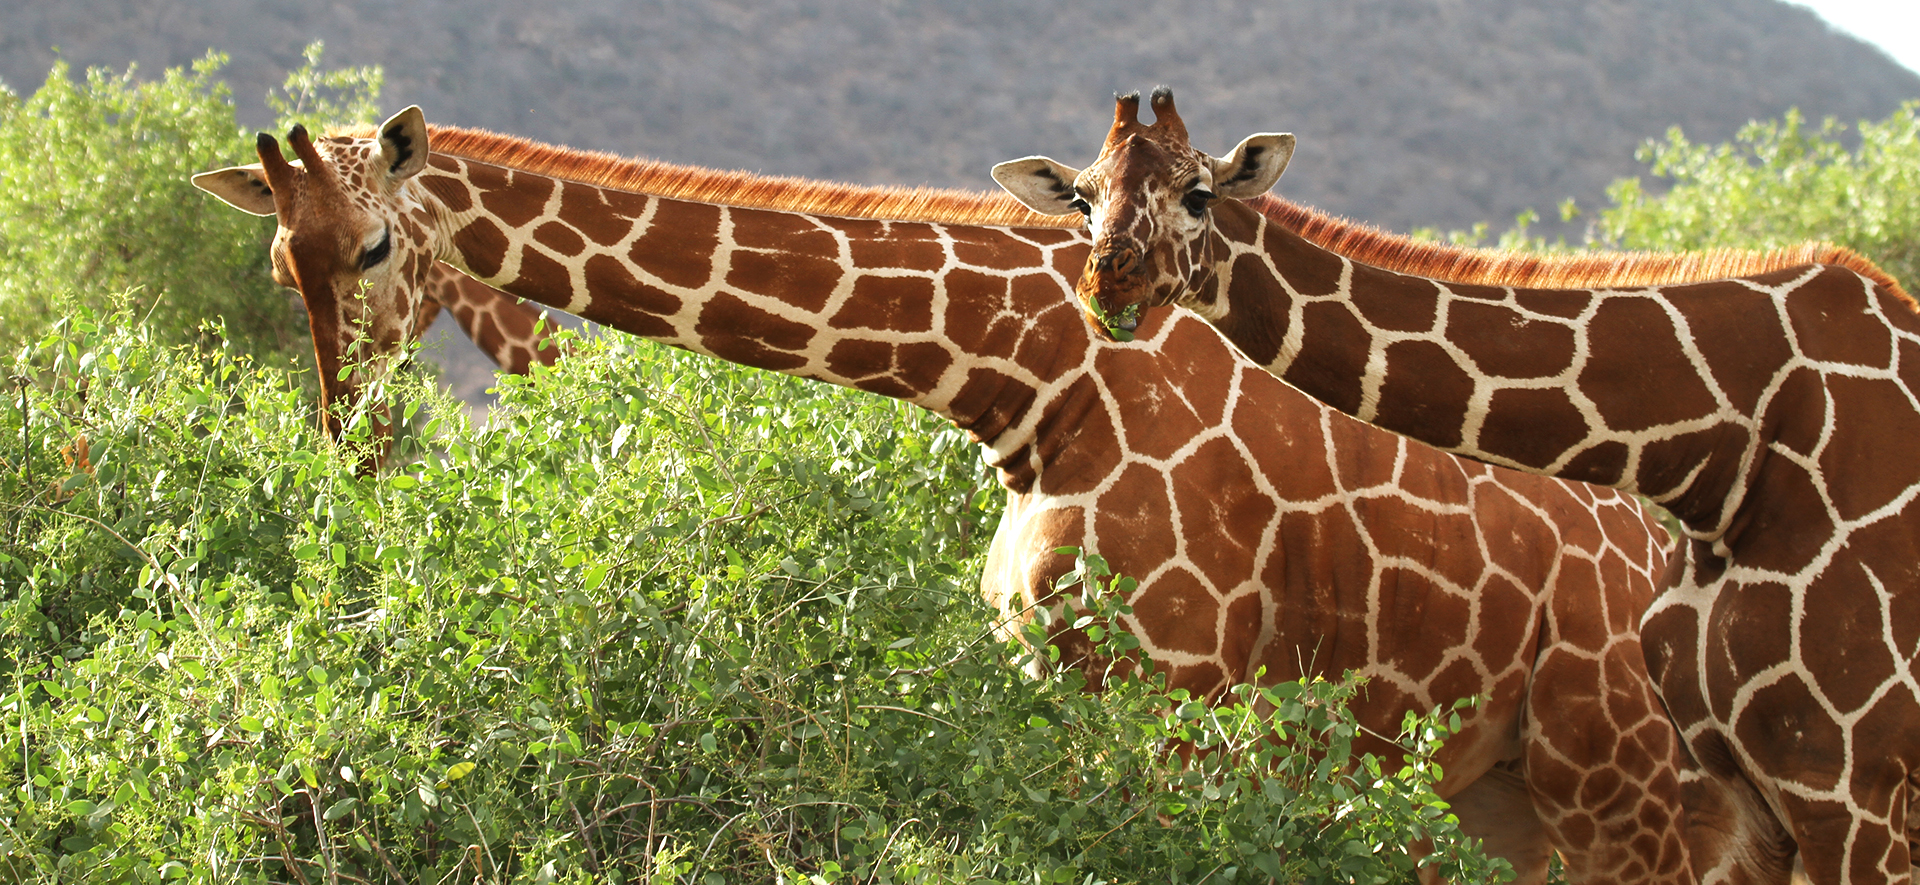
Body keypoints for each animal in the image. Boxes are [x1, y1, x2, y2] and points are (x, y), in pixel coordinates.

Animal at [191, 107, 1697, 879]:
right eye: (276, 263)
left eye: (374, 245)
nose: (351, 440)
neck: (1030, 380)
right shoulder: (1052, 680)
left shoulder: (1185, 694)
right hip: (1505, 798)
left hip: (1618, 777)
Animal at [998, 86, 1920, 879]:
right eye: (1083, 200)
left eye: (1198, 193)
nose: (1108, 280)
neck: (1723, 455)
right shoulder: (1754, 793)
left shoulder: (1852, 780)